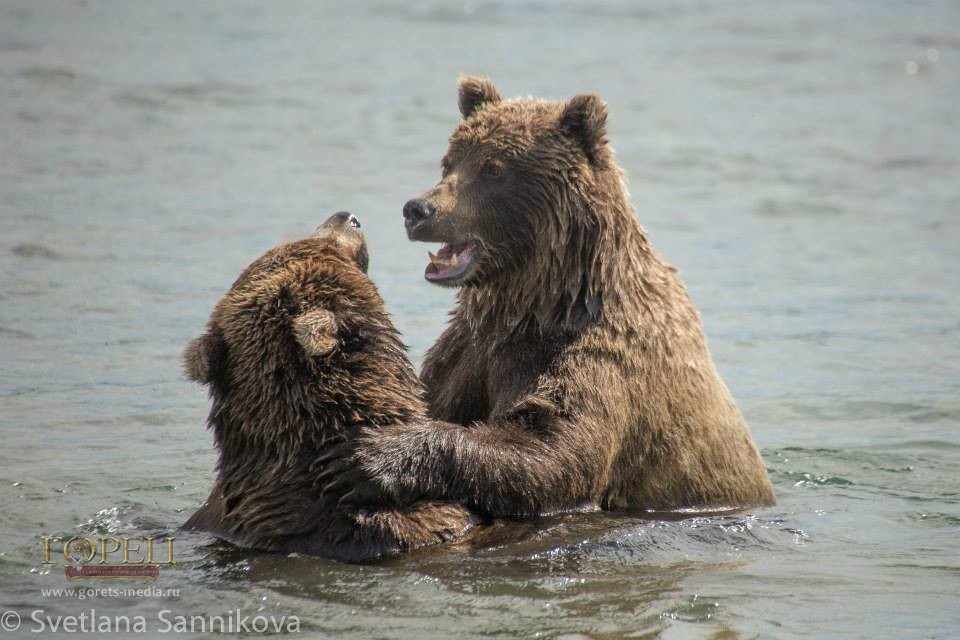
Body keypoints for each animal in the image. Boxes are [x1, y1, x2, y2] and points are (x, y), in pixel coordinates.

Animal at [318, 76, 776, 516]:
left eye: (494, 169)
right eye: (449, 161)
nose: (417, 209)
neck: (537, 301)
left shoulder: (599, 354)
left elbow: (554, 447)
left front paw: (368, 457)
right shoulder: (468, 351)